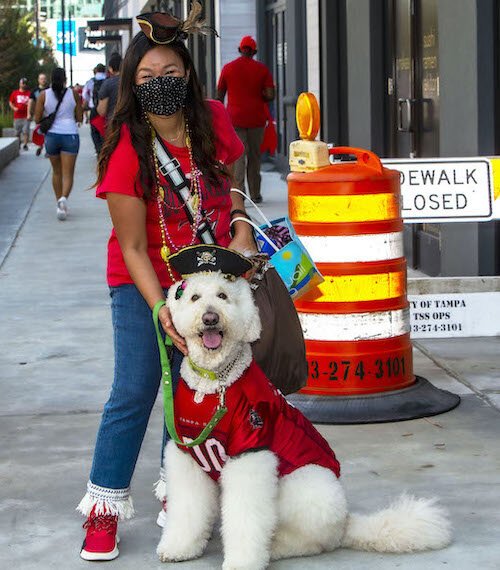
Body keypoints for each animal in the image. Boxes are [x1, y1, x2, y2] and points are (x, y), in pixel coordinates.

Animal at [157, 268, 454, 568]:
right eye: (194, 297)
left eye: (222, 296)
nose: (211, 318)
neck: (213, 382)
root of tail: (346, 524)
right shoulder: (186, 455)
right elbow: (186, 509)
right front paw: (179, 547)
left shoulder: (250, 454)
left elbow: (246, 516)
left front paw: (242, 562)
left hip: (306, 485)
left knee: (311, 540)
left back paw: (277, 547)